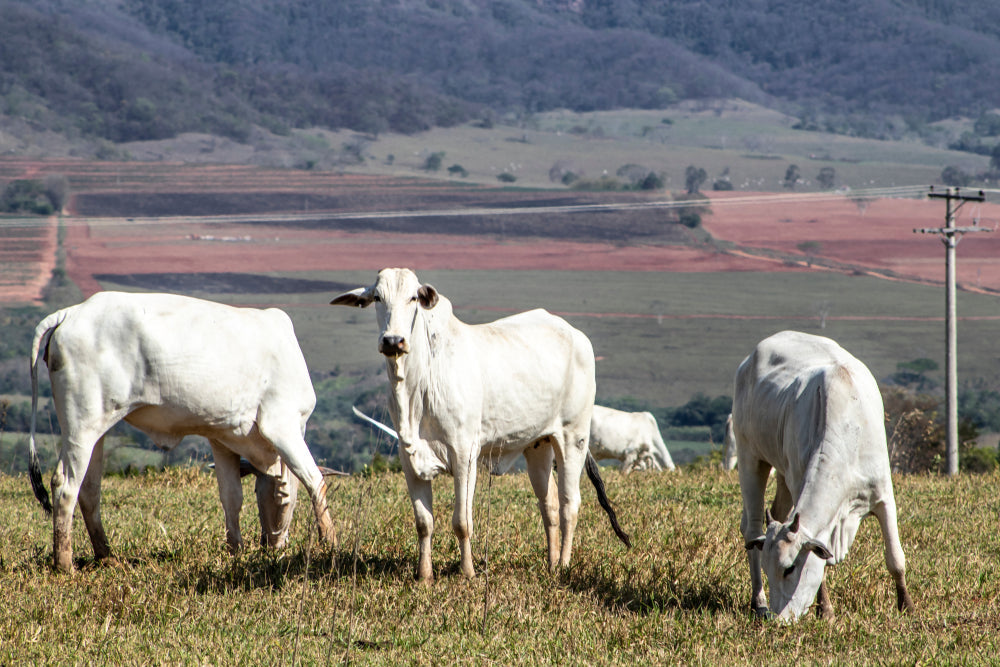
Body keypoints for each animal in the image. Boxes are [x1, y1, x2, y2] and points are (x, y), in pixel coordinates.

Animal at [27, 291, 337, 572]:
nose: (272, 545)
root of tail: (71, 313)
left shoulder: (223, 438)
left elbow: (231, 497)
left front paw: (235, 550)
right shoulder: (281, 426)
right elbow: (314, 481)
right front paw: (330, 543)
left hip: (96, 430)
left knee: (89, 490)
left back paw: (107, 557)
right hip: (82, 425)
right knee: (65, 485)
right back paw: (65, 565)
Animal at [330, 268, 630, 581]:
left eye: (413, 298)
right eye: (377, 297)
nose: (393, 341)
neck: (419, 385)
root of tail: (576, 335)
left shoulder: (464, 454)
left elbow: (462, 521)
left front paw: (468, 572)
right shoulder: (408, 456)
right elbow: (424, 522)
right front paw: (424, 575)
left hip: (574, 438)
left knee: (569, 505)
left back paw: (563, 566)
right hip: (538, 445)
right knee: (549, 506)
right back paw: (550, 564)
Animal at [732, 330, 913, 622]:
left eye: (789, 568)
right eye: (770, 570)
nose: (779, 619)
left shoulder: (884, 496)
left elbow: (895, 558)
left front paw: (906, 605)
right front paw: (825, 609)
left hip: (780, 473)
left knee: (773, 514)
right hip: (749, 456)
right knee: (752, 528)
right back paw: (758, 602)